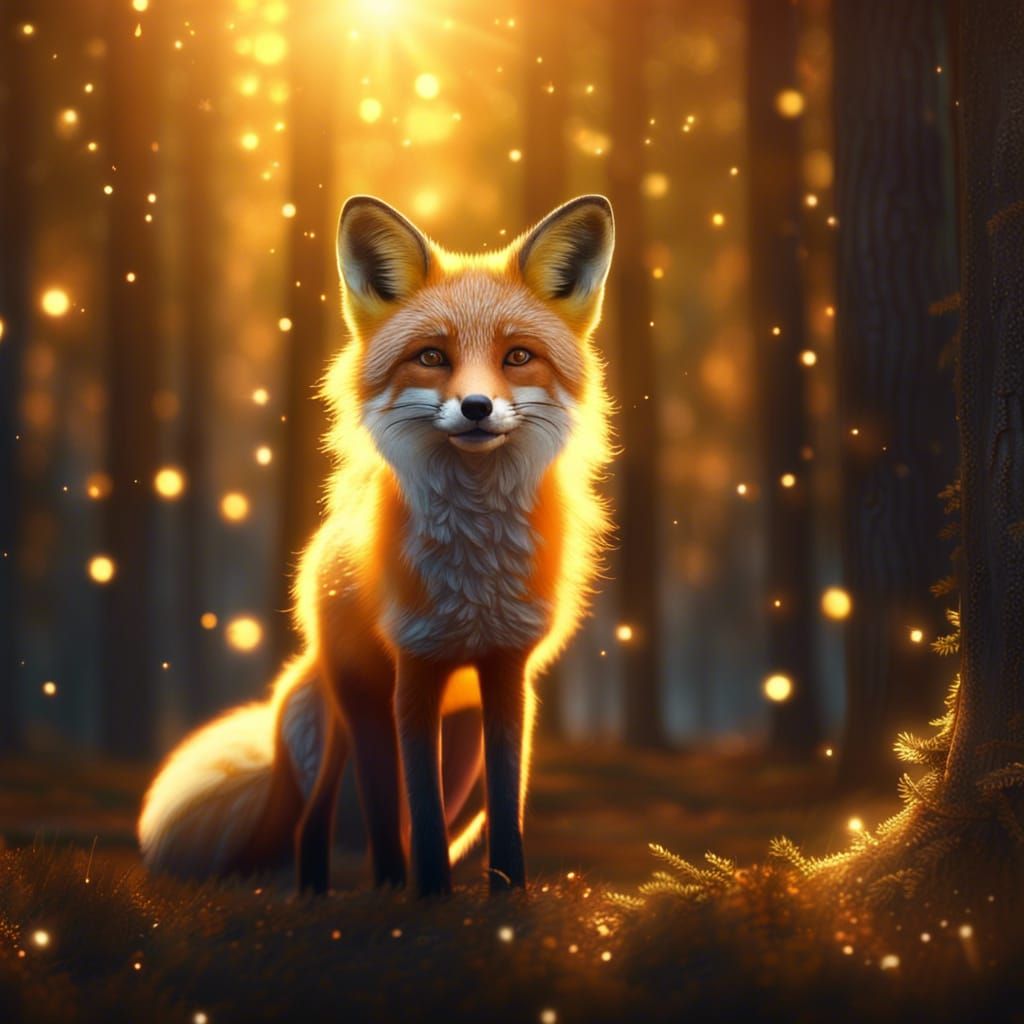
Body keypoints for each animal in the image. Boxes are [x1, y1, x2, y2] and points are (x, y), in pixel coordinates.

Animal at [138, 194, 615, 897]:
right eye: (432, 356)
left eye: (518, 357)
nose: (477, 407)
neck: (472, 573)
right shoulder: (413, 668)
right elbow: (412, 804)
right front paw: (431, 901)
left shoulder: (508, 672)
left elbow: (505, 811)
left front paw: (507, 898)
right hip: (355, 710)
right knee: (339, 817)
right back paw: (350, 892)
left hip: (461, 754)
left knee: (417, 821)